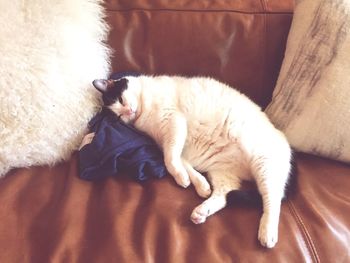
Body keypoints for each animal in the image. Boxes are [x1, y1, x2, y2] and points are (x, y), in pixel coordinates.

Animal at [92, 75, 290, 249]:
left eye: (120, 99)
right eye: (118, 117)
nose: (128, 111)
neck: (143, 116)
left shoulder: (174, 123)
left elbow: (170, 160)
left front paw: (182, 178)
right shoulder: (172, 145)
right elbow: (181, 164)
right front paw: (195, 183)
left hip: (263, 164)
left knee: (273, 200)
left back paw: (267, 233)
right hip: (222, 172)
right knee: (224, 195)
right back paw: (201, 212)